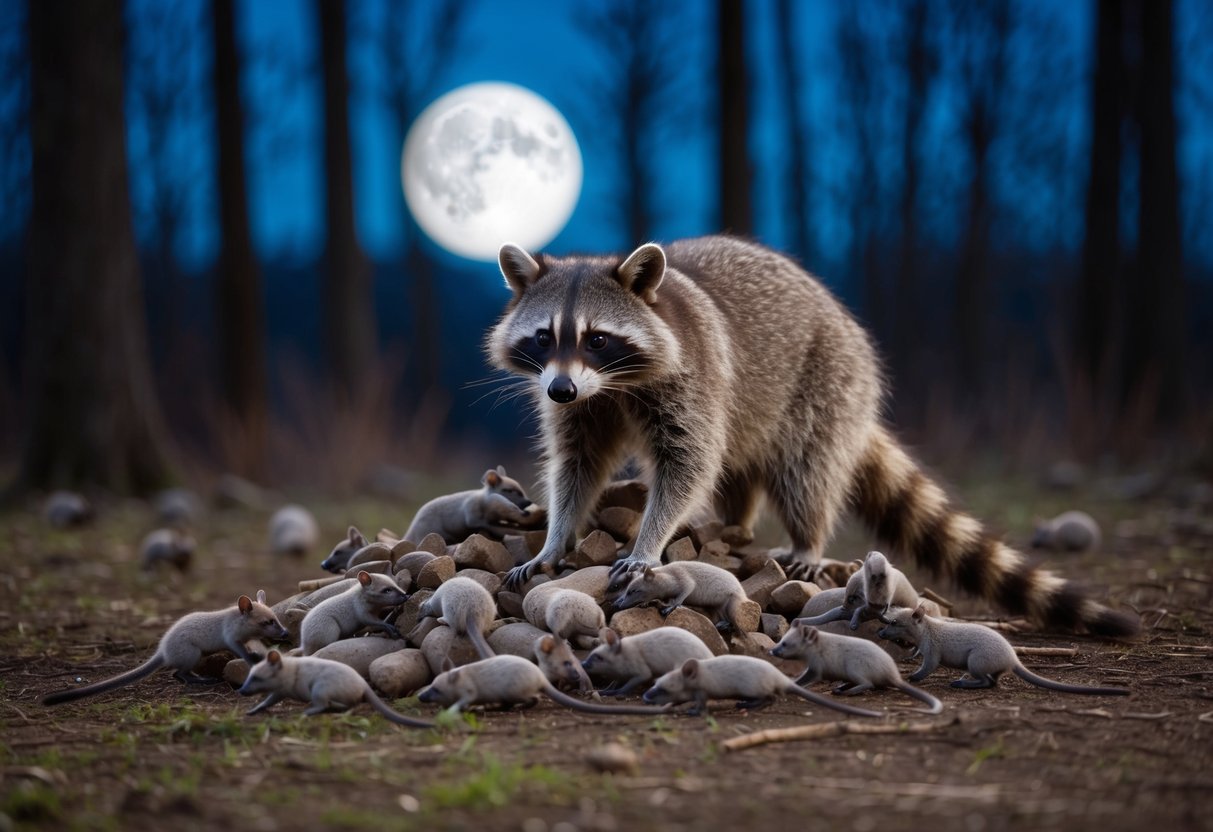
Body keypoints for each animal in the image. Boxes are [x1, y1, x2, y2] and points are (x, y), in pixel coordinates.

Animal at [486, 236, 1138, 638]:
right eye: (545, 337)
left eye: (597, 338)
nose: (561, 390)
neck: (611, 385)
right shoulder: (584, 405)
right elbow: (578, 464)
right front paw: (556, 539)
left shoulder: (691, 377)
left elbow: (687, 463)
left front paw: (649, 541)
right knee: (741, 469)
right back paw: (735, 525)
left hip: (827, 382)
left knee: (806, 471)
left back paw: (806, 538)